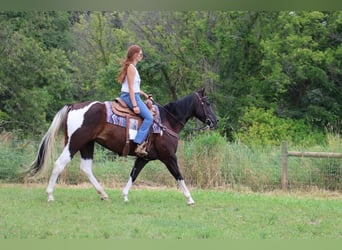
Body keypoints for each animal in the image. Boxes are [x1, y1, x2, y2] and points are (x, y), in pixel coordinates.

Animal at [27, 88, 219, 205]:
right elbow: (179, 175)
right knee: (59, 164)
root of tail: (74, 106)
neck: (166, 122)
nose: (215, 121)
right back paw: (50, 195)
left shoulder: (144, 158)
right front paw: (190, 198)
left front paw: (125, 195)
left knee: (86, 168)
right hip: (74, 142)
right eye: (208, 103)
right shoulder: (169, 157)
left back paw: (103, 194)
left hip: (87, 144)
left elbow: (133, 174)